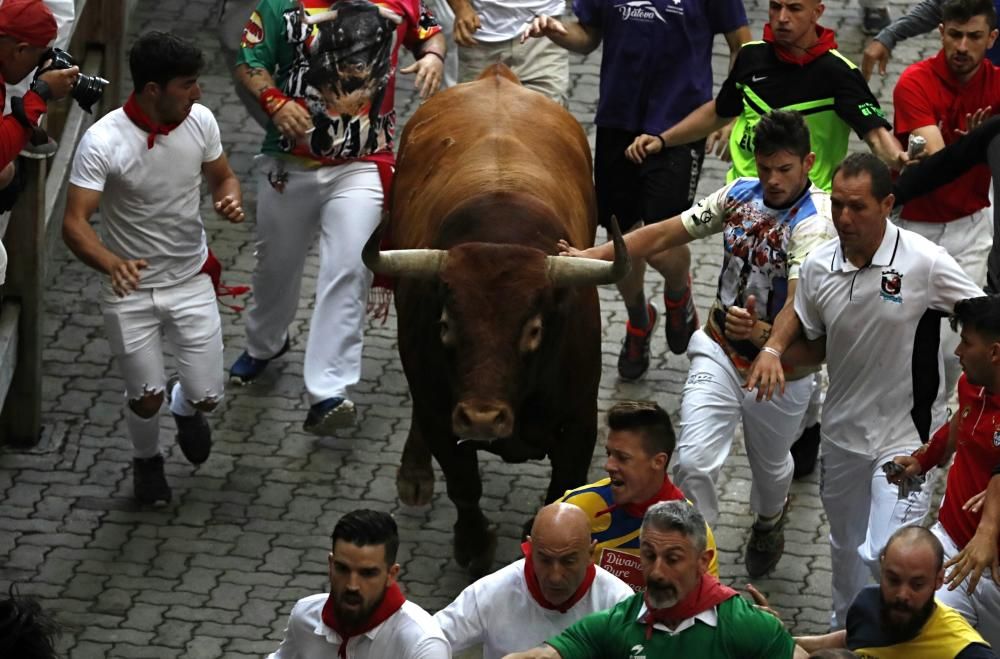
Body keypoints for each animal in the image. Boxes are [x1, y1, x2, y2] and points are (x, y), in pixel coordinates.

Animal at [364, 64, 624, 576]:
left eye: (535, 330)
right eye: (445, 325)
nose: (482, 417)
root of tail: (496, 76)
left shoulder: (580, 422)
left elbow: (560, 492)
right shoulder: (441, 416)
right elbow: (464, 484)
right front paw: (473, 543)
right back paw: (414, 474)